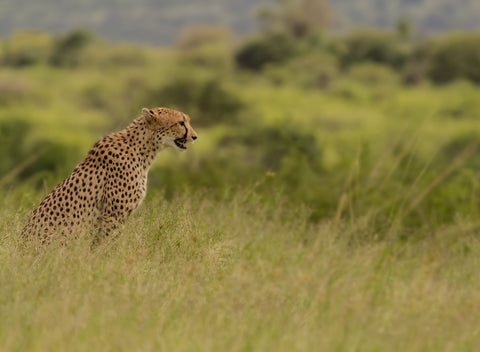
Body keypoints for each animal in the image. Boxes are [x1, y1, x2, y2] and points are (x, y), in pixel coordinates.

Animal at [21, 107, 198, 245]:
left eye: (187, 121)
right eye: (181, 123)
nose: (195, 137)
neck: (143, 149)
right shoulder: (113, 215)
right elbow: (106, 244)